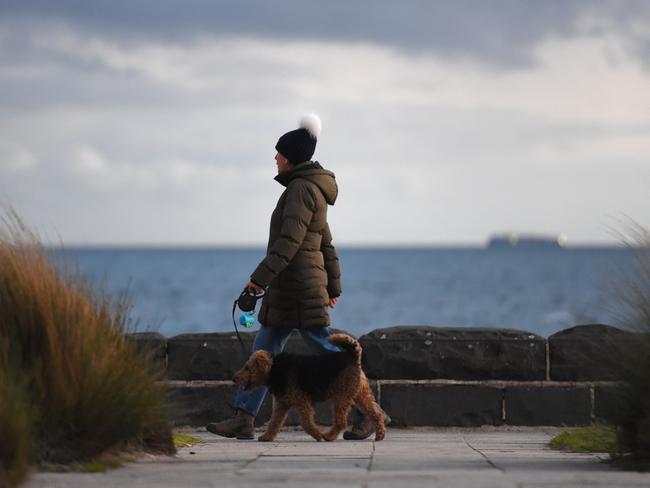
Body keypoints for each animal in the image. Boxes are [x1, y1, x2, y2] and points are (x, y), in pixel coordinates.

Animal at [233, 336, 384, 442]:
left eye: (247, 367)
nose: (234, 378)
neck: (274, 369)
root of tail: (353, 356)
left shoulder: (302, 401)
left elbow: (306, 422)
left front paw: (317, 434)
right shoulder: (281, 404)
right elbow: (274, 422)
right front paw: (266, 437)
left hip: (341, 397)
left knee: (341, 421)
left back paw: (328, 436)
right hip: (360, 393)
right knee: (376, 412)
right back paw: (380, 434)